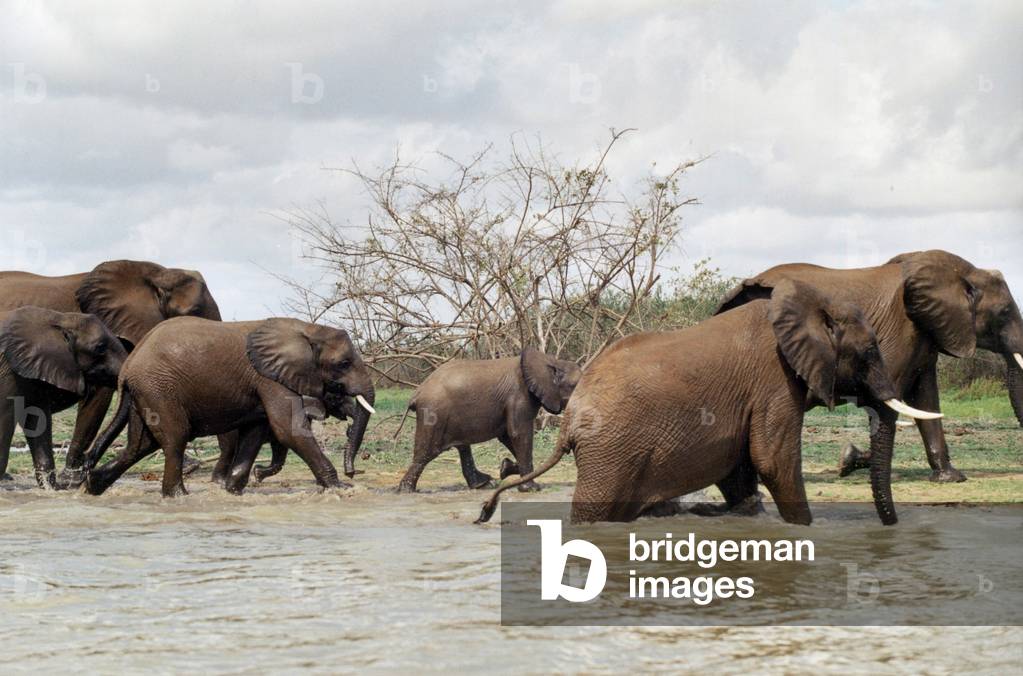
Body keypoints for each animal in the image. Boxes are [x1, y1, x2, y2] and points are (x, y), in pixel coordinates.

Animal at [0, 307, 128, 487]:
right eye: (100, 347)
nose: (86, 465)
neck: (58, 319)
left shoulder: (32, 371)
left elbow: (37, 419)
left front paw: (50, 488)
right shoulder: (8, 371)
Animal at [81, 316, 376, 497]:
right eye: (343, 364)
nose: (353, 471)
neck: (308, 330)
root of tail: (128, 365)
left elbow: (257, 430)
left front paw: (233, 491)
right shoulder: (268, 378)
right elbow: (288, 429)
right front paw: (341, 488)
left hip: (145, 393)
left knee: (140, 445)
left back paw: (92, 486)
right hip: (159, 388)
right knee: (175, 438)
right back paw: (179, 497)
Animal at [396, 348, 581, 492]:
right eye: (575, 386)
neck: (551, 361)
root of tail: (417, 393)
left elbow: (507, 436)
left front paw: (505, 468)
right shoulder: (519, 396)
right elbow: (519, 434)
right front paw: (531, 489)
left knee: (462, 447)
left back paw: (485, 484)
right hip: (434, 413)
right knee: (426, 453)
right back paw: (406, 491)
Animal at [477, 280, 940, 525]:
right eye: (869, 353)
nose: (891, 526)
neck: (809, 302)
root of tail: (571, 418)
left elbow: (741, 465)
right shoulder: (773, 380)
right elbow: (772, 458)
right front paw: (804, 527)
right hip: (610, 451)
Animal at [714, 250, 1023, 503]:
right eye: (1005, 312)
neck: (965, 271)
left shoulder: (926, 333)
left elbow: (925, 400)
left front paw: (950, 477)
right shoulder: (900, 333)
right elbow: (890, 402)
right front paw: (850, 460)